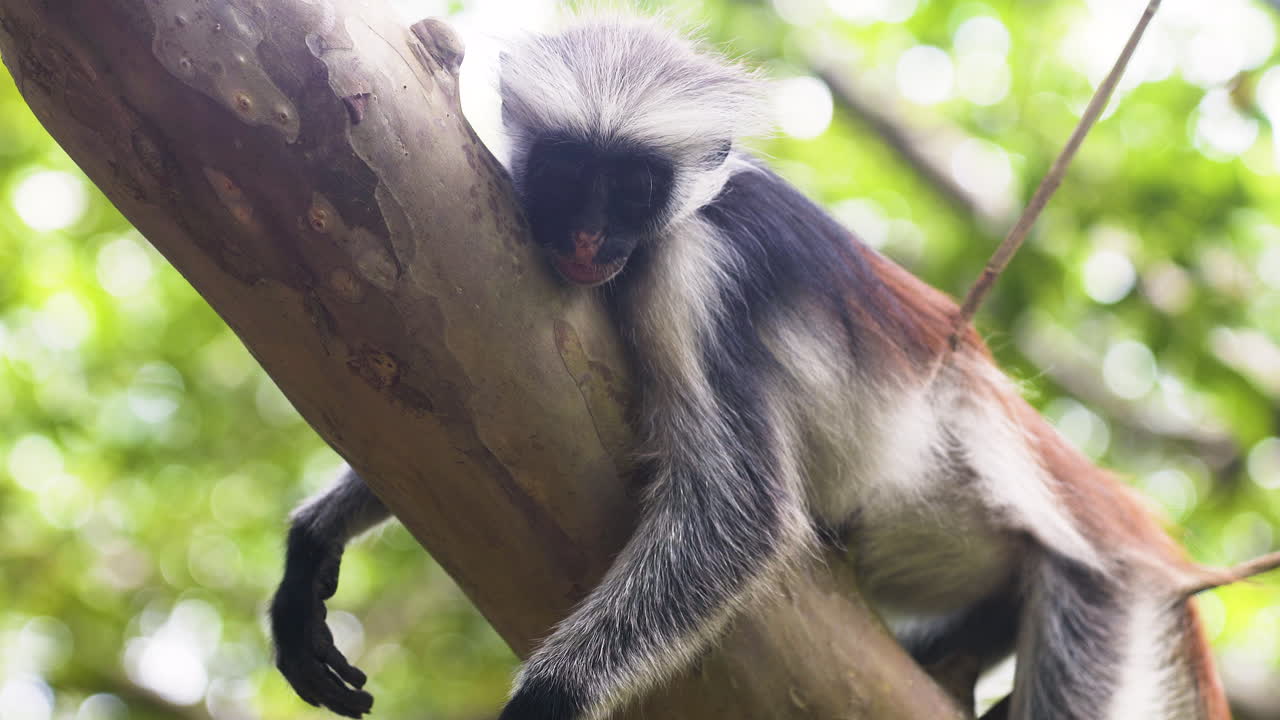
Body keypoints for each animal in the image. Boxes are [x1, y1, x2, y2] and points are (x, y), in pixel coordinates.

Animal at [269, 15, 1280, 720]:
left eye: (632, 187)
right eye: (563, 175)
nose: (589, 239)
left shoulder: (694, 272)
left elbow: (741, 514)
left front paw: (546, 700)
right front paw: (314, 540)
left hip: (1099, 598)